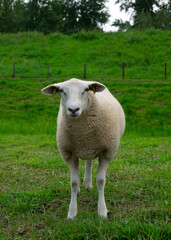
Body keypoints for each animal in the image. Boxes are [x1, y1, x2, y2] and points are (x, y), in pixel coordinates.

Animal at [41, 78, 125, 219]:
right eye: (62, 91)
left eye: (86, 90)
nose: (73, 109)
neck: (83, 135)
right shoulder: (69, 154)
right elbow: (73, 183)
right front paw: (72, 212)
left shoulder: (107, 153)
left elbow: (101, 181)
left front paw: (102, 211)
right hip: (83, 150)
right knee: (87, 163)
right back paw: (84, 184)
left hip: (92, 148)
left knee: (89, 162)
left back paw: (87, 183)